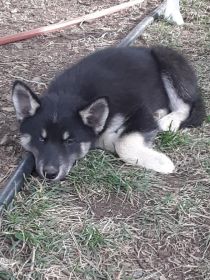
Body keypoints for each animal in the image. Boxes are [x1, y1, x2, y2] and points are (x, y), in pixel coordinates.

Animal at [11, 45, 205, 182]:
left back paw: (168, 120)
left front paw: (161, 162)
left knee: (186, 105)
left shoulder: (140, 110)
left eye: (70, 141)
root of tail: (145, 49)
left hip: (168, 61)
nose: (50, 174)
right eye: (41, 139)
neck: (72, 93)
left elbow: (123, 144)